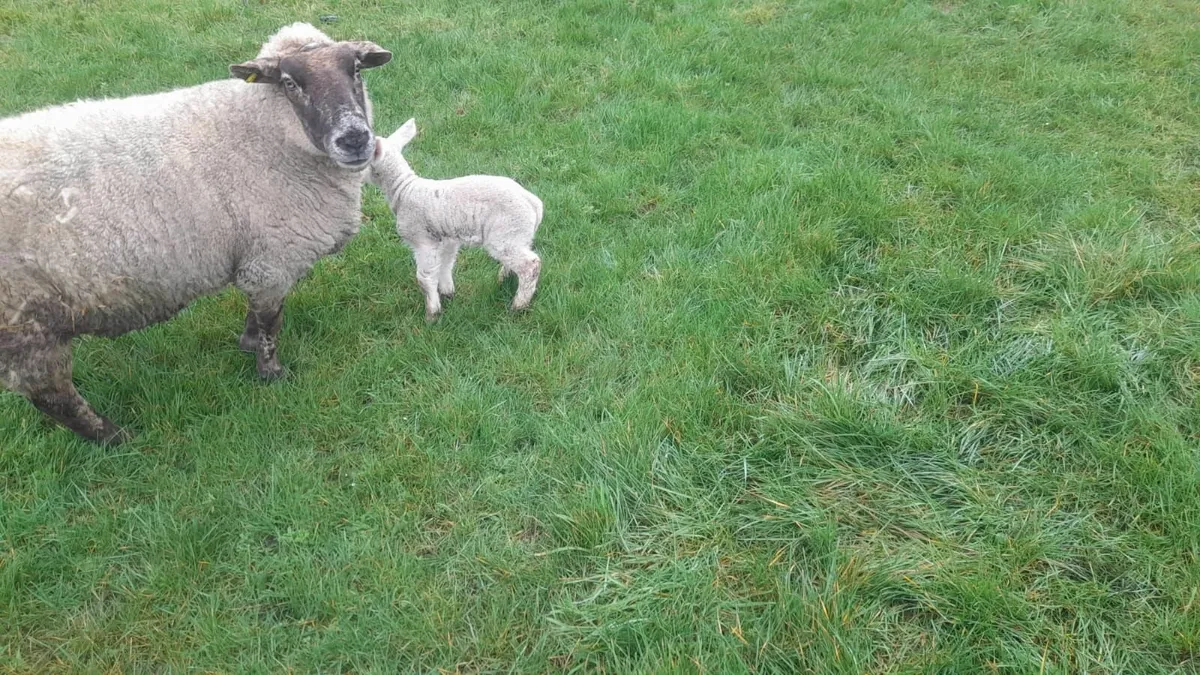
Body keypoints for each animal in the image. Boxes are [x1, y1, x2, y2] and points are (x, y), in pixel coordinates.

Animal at [0, 23, 392, 445]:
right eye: (290, 83)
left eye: (356, 70)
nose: (354, 139)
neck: (265, 129)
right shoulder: (272, 257)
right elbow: (271, 322)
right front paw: (271, 374)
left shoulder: (256, 257)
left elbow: (257, 314)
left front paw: (246, 345)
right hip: (26, 325)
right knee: (52, 396)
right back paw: (117, 438)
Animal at [368, 119, 543, 322]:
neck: (403, 189)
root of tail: (534, 204)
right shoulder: (446, 239)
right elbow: (445, 265)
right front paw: (447, 293)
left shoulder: (422, 240)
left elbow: (424, 277)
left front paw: (432, 313)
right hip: (518, 235)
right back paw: (504, 278)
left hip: (506, 232)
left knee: (530, 265)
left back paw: (518, 305)